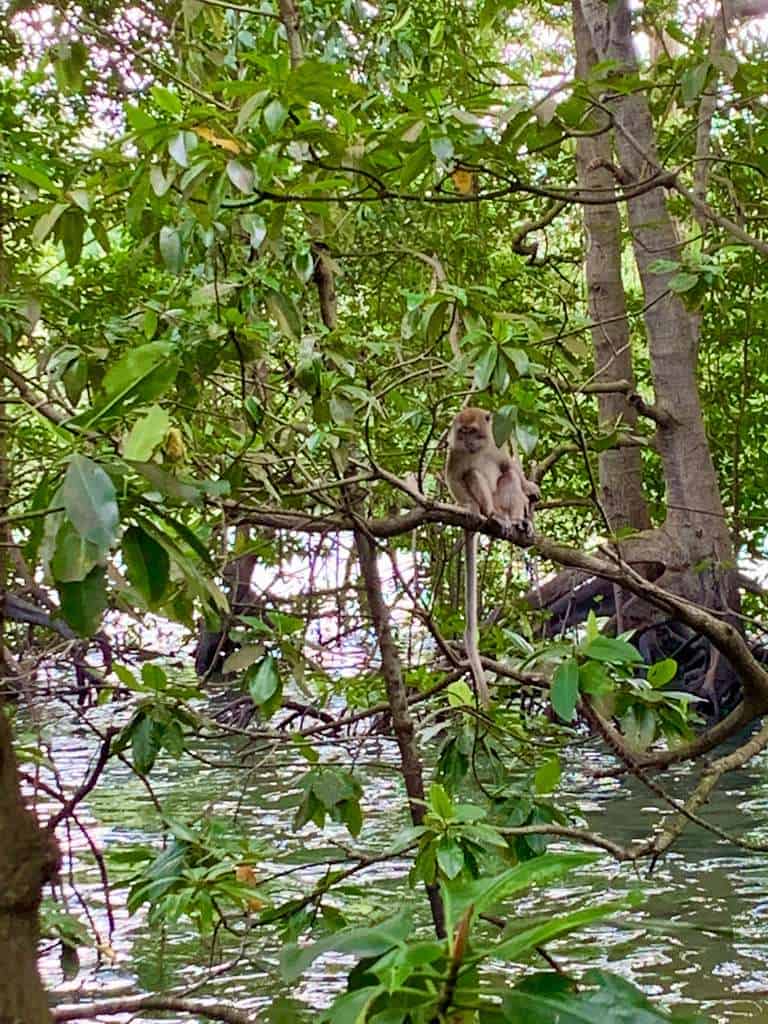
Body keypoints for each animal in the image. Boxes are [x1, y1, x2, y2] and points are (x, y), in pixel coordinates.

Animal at [444, 403, 540, 708]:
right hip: (488, 499)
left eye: (474, 431)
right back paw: (492, 516)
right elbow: (456, 478)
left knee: (507, 476)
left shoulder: (499, 443)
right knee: (474, 476)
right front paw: (469, 507)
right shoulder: (455, 453)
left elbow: (510, 466)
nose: (469, 442)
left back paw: (519, 523)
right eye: (462, 432)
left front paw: (529, 486)